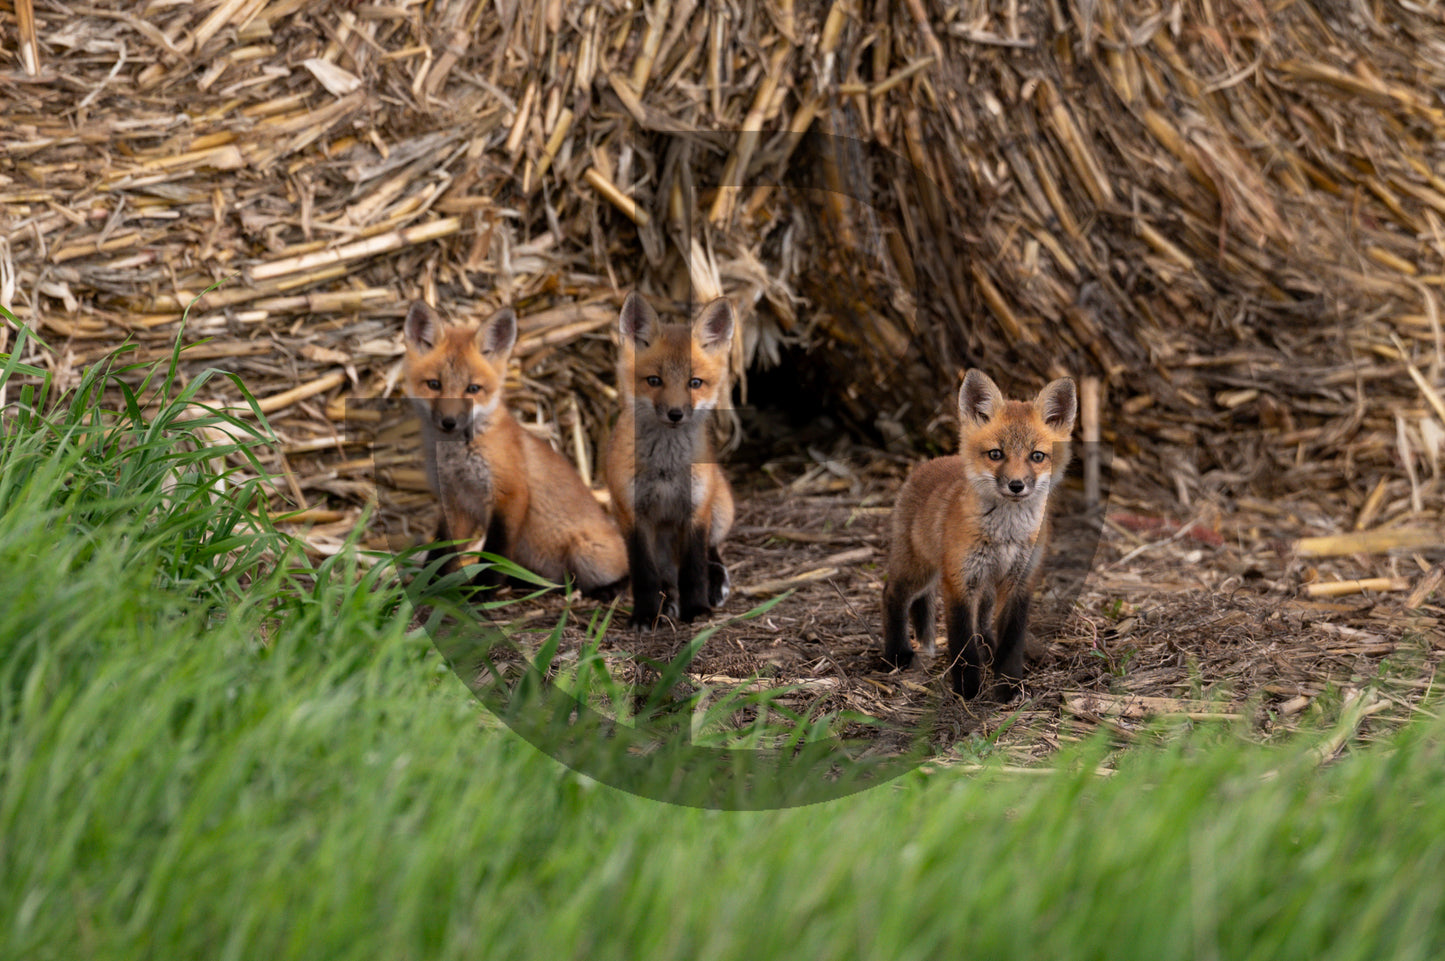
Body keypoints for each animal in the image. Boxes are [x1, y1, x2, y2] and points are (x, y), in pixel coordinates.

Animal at [402, 300, 628, 599]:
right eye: (434, 385)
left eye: (473, 388)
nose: (449, 422)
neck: (456, 458)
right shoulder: (455, 502)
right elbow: (442, 550)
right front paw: (427, 584)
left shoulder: (510, 494)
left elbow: (494, 553)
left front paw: (483, 591)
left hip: (587, 555)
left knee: (620, 577)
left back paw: (608, 590)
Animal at [605, 292, 735, 630]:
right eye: (654, 380)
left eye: (695, 382)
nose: (676, 414)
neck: (666, 468)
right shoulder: (632, 513)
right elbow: (644, 574)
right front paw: (645, 614)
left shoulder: (696, 510)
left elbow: (694, 569)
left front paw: (698, 608)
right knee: (665, 574)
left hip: (720, 510)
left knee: (712, 553)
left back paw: (714, 584)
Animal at [882, 369, 1077, 700]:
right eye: (996, 454)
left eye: (1037, 456)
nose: (1016, 485)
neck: (1006, 534)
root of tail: (927, 464)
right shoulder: (959, 580)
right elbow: (963, 643)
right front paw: (968, 690)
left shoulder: (1020, 581)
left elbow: (1011, 639)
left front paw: (1008, 687)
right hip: (919, 569)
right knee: (892, 593)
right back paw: (897, 654)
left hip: (982, 583)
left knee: (982, 623)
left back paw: (989, 650)